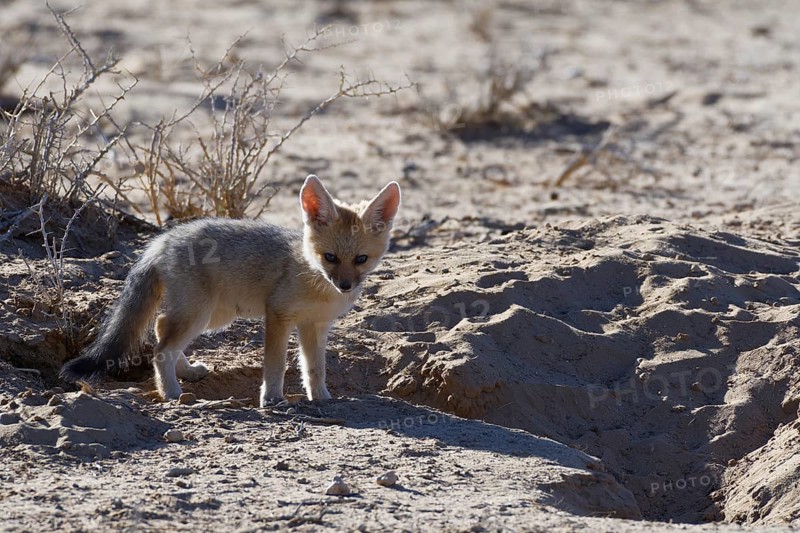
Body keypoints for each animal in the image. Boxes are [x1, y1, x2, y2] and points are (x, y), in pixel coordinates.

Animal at [60, 175, 401, 406]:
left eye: (361, 259)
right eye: (330, 257)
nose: (345, 286)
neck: (315, 279)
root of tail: (163, 239)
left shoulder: (314, 325)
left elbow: (315, 368)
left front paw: (321, 397)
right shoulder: (278, 315)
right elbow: (275, 364)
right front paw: (272, 398)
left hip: (212, 316)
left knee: (159, 327)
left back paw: (187, 372)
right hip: (201, 315)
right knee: (160, 349)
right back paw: (171, 393)